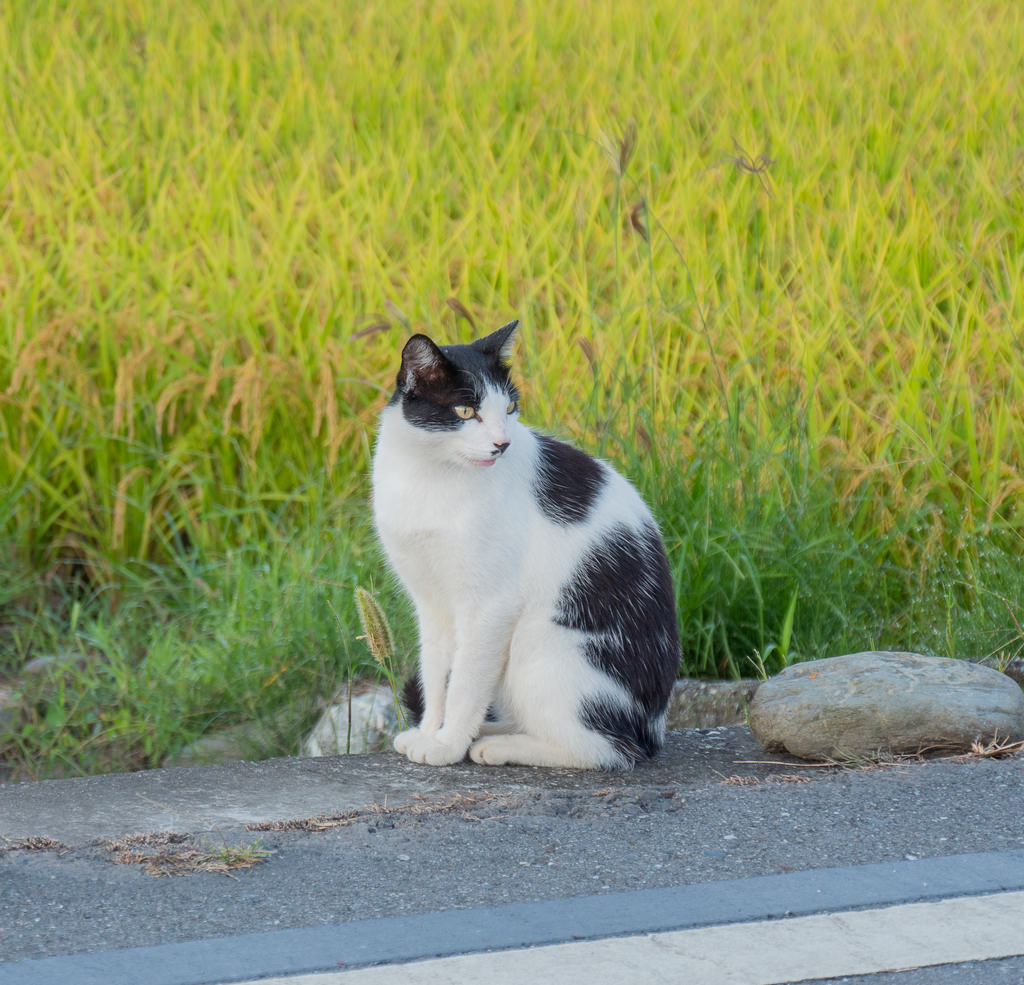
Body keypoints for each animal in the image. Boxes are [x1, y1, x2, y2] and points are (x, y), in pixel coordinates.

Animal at [370, 323, 679, 769]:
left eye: (510, 408)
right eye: (466, 412)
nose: (502, 444)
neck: (432, 476)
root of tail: (653, 728)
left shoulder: (489, 605)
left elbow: (463, 684)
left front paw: (447, 745)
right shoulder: (431, 603)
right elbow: (435, 674)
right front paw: (432, 731)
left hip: (542, 644)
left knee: (604, 748)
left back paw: (497, 746)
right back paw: (491, 730)